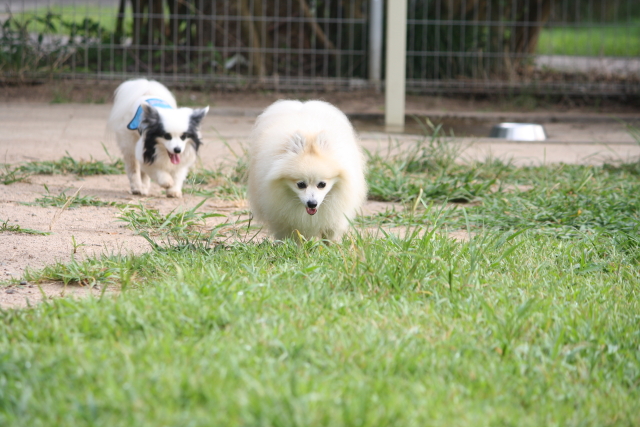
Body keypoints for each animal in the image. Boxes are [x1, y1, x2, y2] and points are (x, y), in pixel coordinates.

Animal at [247, 100, 367, 242]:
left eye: (322, 184)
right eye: (300, 184)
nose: (312, 204)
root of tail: (301, 105)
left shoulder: (335, 216)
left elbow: (330, 235)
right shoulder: (283, 218)